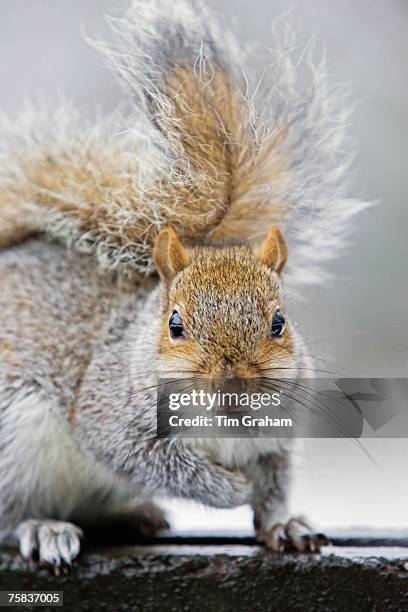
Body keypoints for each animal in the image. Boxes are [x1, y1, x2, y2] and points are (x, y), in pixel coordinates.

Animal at [0, 1, 366, 572]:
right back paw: (42, 527)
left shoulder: (277, 439)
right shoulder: (111, 417)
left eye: (280, 323)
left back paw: (133, 515)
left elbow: (275, 485)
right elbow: (154, 462)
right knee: (10, 514)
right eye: (174, 325)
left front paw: (283, 523)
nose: (233, 387)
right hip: (13, 446)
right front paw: (228, 489)